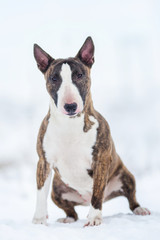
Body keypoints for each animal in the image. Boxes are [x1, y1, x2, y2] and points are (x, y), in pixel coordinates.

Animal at [32, 36, 150, 226]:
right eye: (54, 78)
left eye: (79, 75)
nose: (70, 106)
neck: (70, 124)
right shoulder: (44, 162)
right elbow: (40, 192)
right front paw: (39, 219)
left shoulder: (100, 160)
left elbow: (97, 193)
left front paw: (94, 218)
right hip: (57, 190)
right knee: (71, 210)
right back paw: (67, 219)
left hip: (126, 176)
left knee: (130, 198)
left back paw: (140, 209)